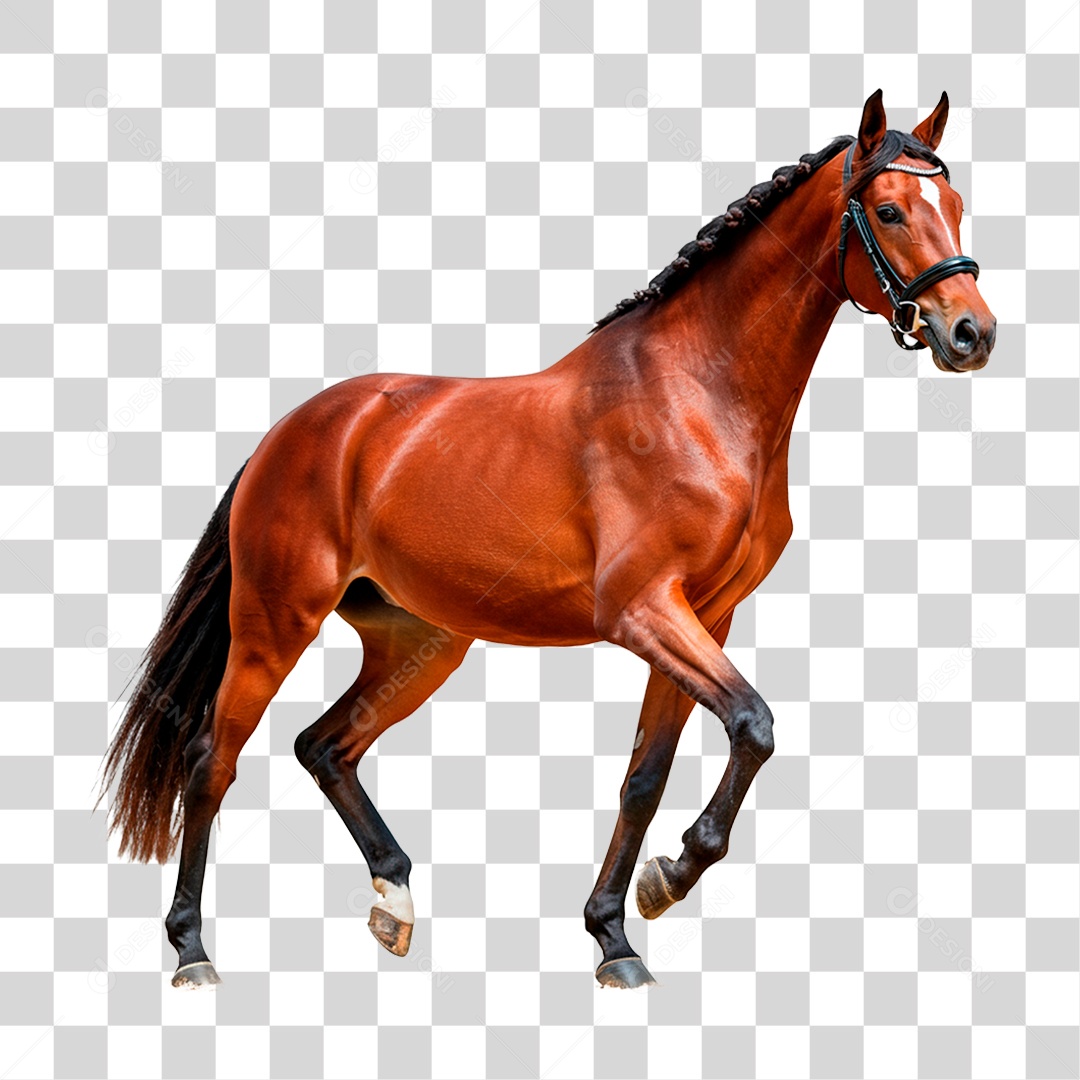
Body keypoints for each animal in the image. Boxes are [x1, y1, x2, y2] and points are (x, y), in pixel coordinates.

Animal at [100, 90, 995, 991]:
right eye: (888, 209)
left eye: (954, 204)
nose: (971, 334)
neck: (696, 396)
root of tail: (289, 434)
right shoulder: (641, 611)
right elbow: (753, 724)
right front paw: (669, 877)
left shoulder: (706, 617)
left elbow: (645, 777)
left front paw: (618, 935)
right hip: (273, 625)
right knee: (213, 759)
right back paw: (192, 951)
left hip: (418, 642)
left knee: (323, 746)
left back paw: (395, 903)